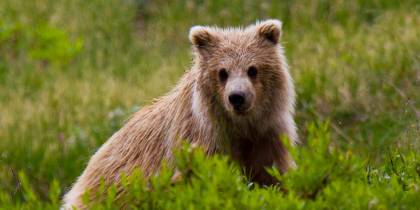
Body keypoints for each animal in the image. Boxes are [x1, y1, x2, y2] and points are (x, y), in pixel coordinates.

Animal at [63, 19, 298, 208]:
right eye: (222, 72)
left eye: (252, 69)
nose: (237, 97)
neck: (241, 127)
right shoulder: (200, 143)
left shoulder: (267, 137)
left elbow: (273, 176)